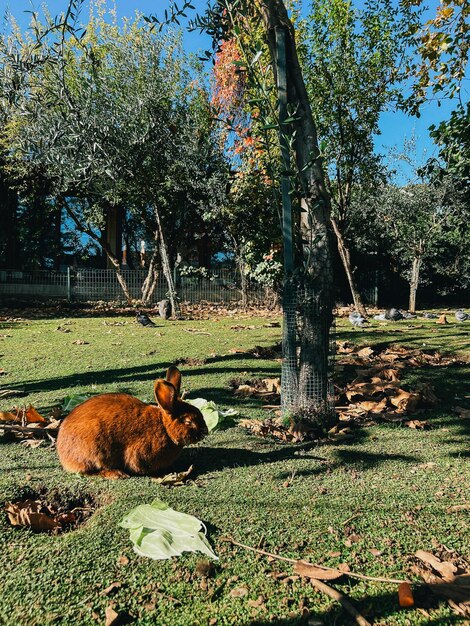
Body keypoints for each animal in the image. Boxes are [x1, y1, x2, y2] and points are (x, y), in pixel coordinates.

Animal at [57, 366, 207, 478]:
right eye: (188, 421)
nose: (205, 431)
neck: (164, 427)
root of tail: (62, 454)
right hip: (94, 450)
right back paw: (117, 474)